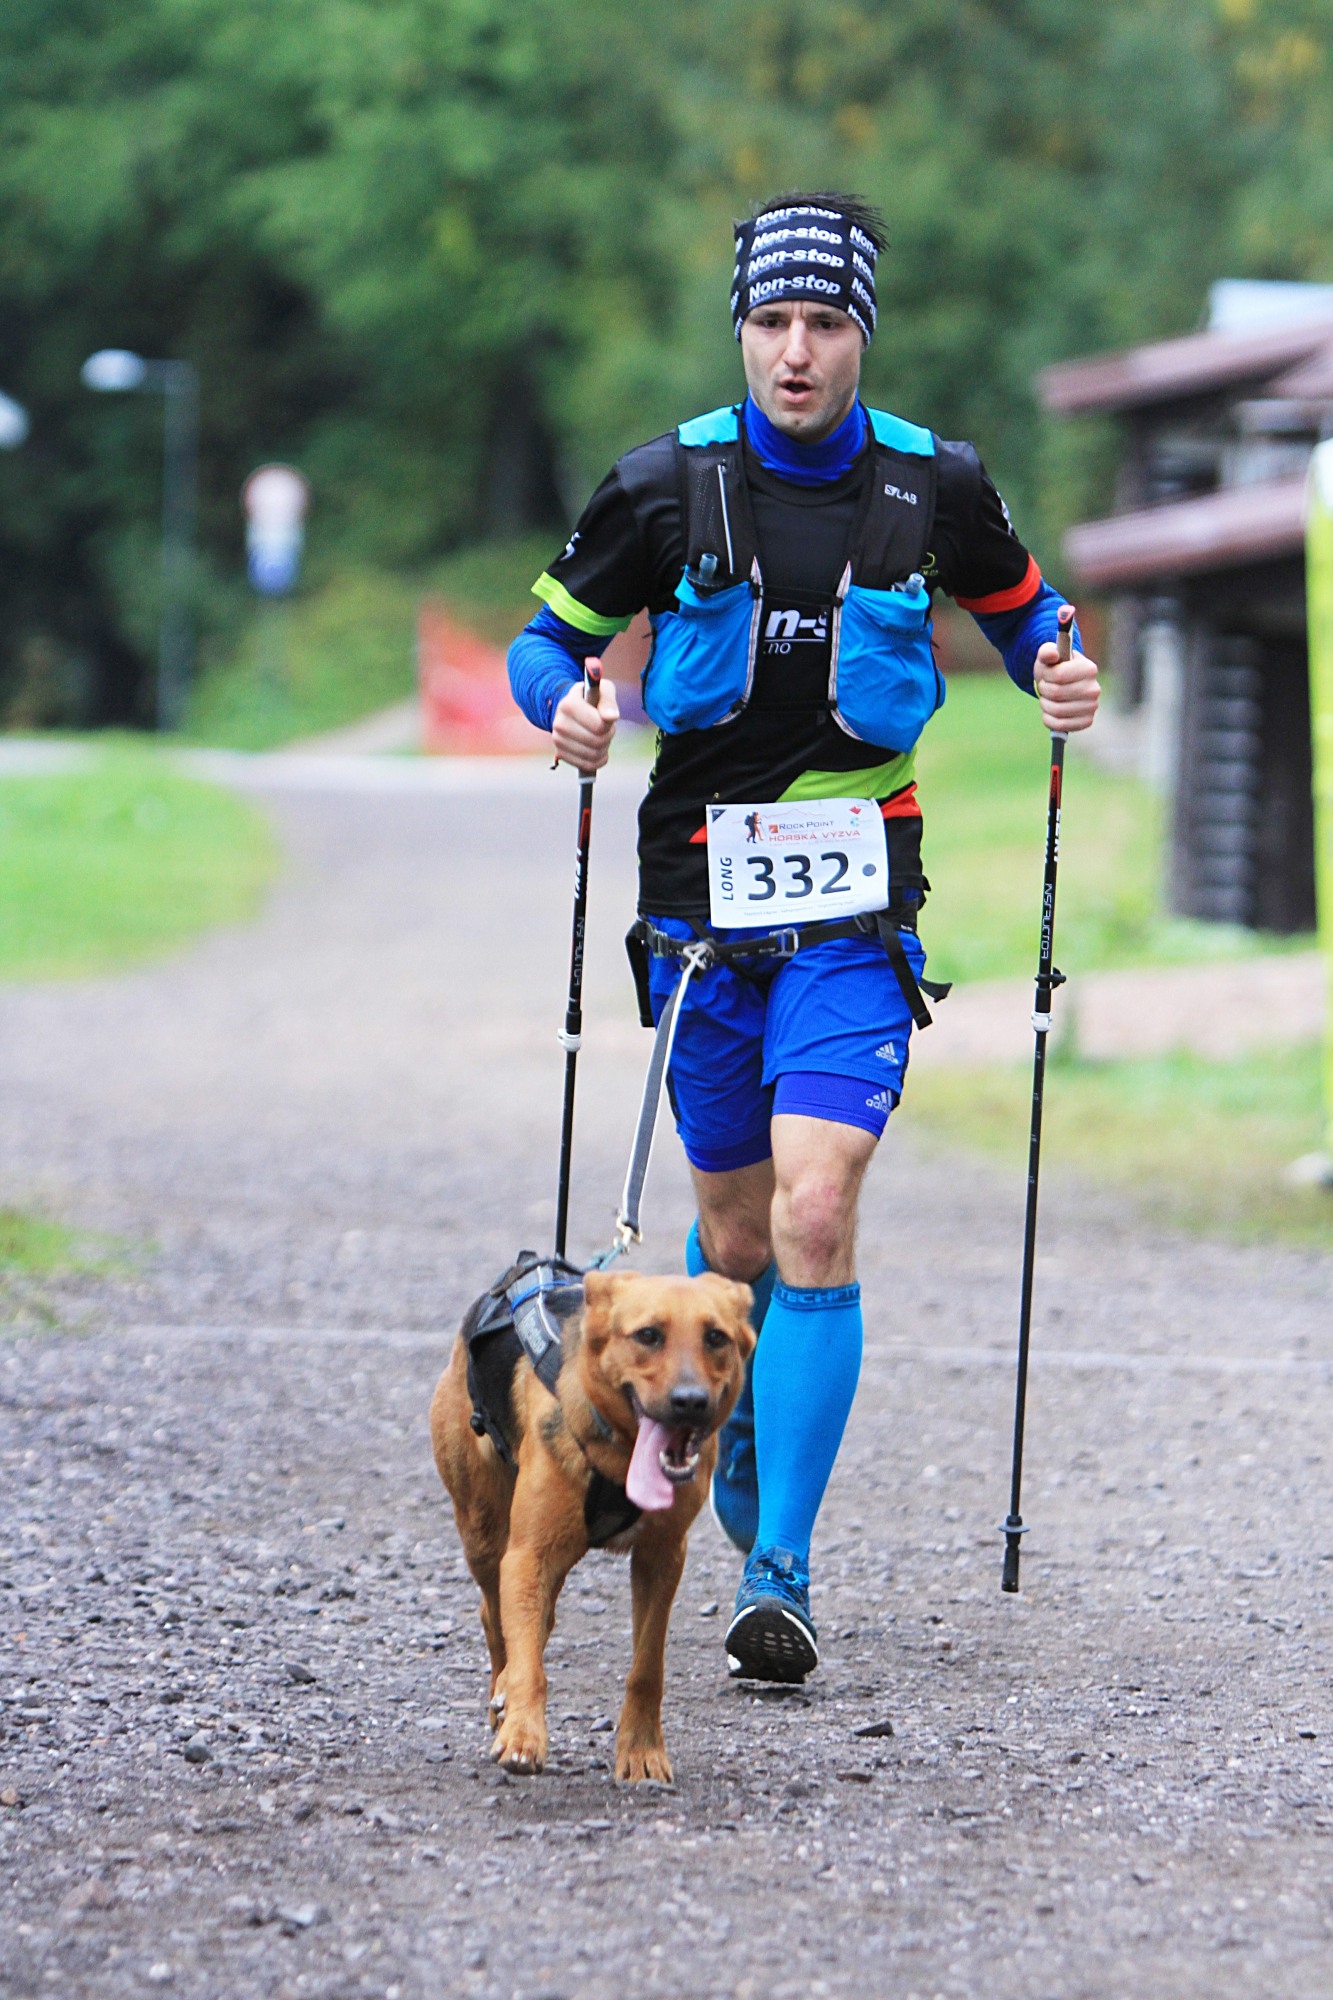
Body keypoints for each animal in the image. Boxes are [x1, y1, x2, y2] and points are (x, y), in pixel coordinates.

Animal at [430, 1264, 752, 1784]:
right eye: (648, 1335)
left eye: (716, 1337)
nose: (690, 1401)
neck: (622, 1453)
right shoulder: (529, 1554)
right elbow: (527, 1660)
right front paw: (522, 1733)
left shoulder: (662, 1558)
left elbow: (647, 1666)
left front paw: (641, 1750)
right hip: (483, 1531)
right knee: (495, 1617)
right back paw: (503, 1691)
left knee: (537, 1619)